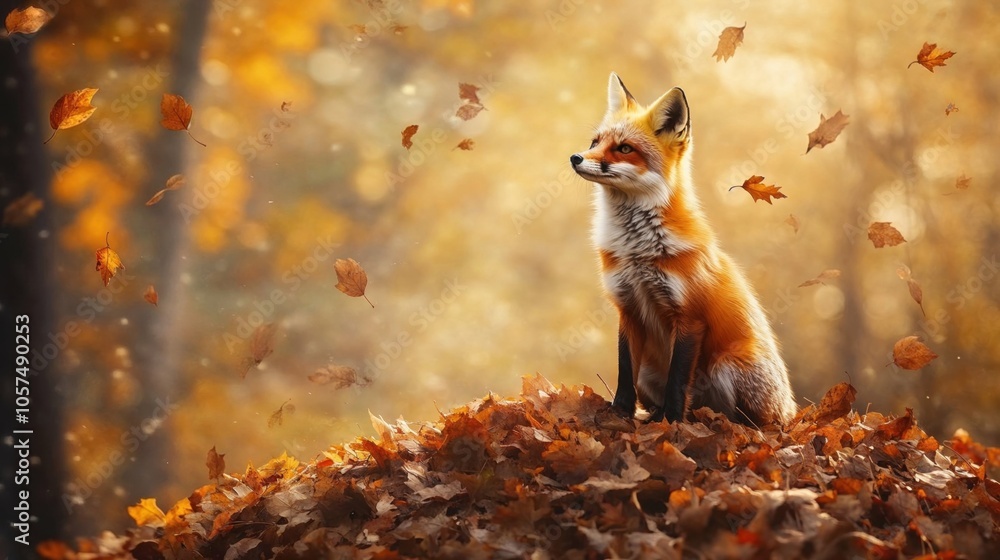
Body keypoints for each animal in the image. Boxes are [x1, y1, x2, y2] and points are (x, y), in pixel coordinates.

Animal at [569, 73, 796, 426]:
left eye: (624, 149)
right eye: (595, 143)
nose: (576, 157)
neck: (637, 251)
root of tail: (791, 409)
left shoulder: (689, 317)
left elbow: (677, 380)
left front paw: (673, 422)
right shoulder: (627, 309)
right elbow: (624, 372)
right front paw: (620, 414)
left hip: (727, 366)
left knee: (746, 420)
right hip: (650, 372)